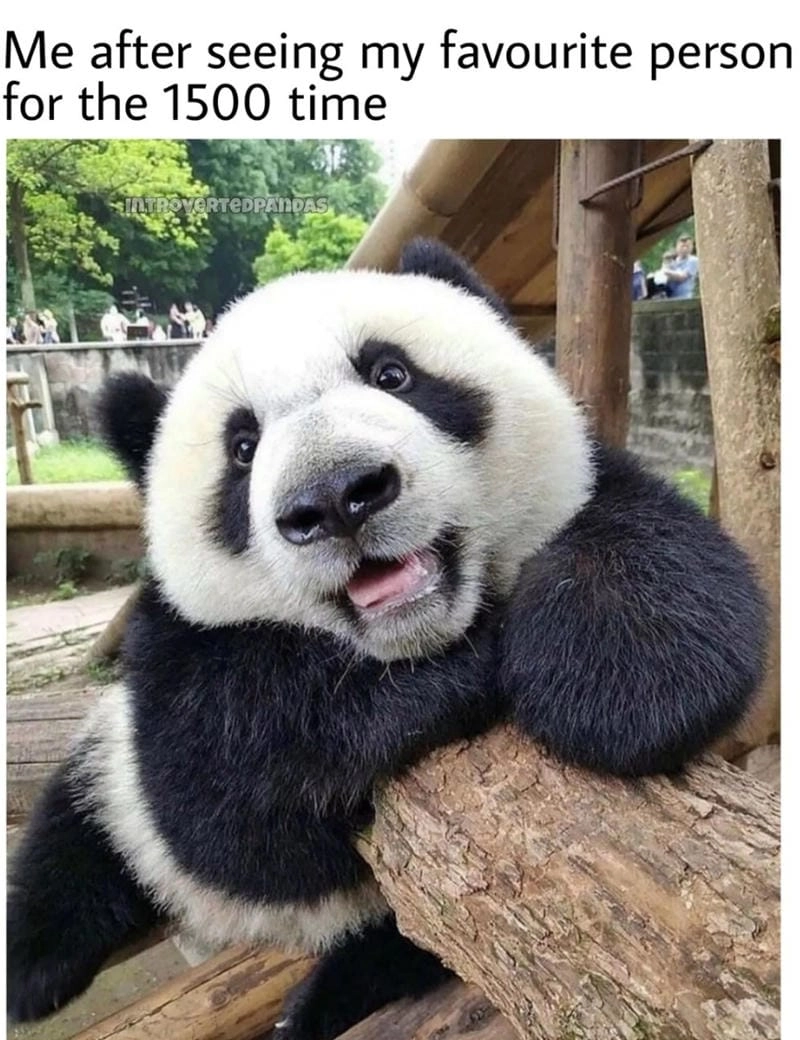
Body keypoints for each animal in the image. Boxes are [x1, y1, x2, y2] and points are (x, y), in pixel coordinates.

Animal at [7, 239, 766, 1039]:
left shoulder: (605, 492)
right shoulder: (174, 648)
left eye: (392, 374)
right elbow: (222, 798)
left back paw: (326, 996)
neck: (420, 632)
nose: (337, 496)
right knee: (78, 835)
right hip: (112, 780)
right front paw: (459, 674)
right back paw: (36, 966)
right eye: (242, 446)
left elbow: (675, 584)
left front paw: (605, 682)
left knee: (405, 945)